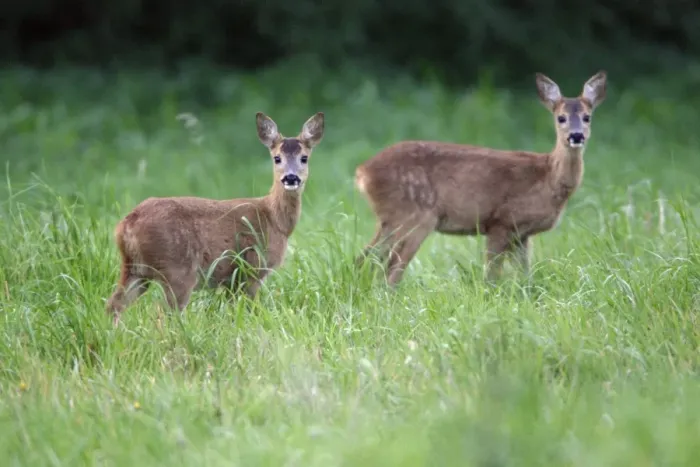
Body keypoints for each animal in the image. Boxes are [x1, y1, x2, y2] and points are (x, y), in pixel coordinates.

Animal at [106, 111, 325, 324]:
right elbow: (250, 311)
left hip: (135, 269)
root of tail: (126, 225)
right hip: (177, 269)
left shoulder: (232, 280)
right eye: (277, 158)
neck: (274, 219)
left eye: (304, 158)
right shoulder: (252, 269)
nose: (291, 178)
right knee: (161, 313)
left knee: (113, 305)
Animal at [354, 71, 607, 286]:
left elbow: (525, 274)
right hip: (415, 216)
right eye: (561, 118)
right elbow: (491, 274)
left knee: (366, 258)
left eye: (587, 117)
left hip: (390, 219)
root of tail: (363, 172)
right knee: (391, 267)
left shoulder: (522, 234)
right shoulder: (500, 222)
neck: (547, 177)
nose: (576, 136)